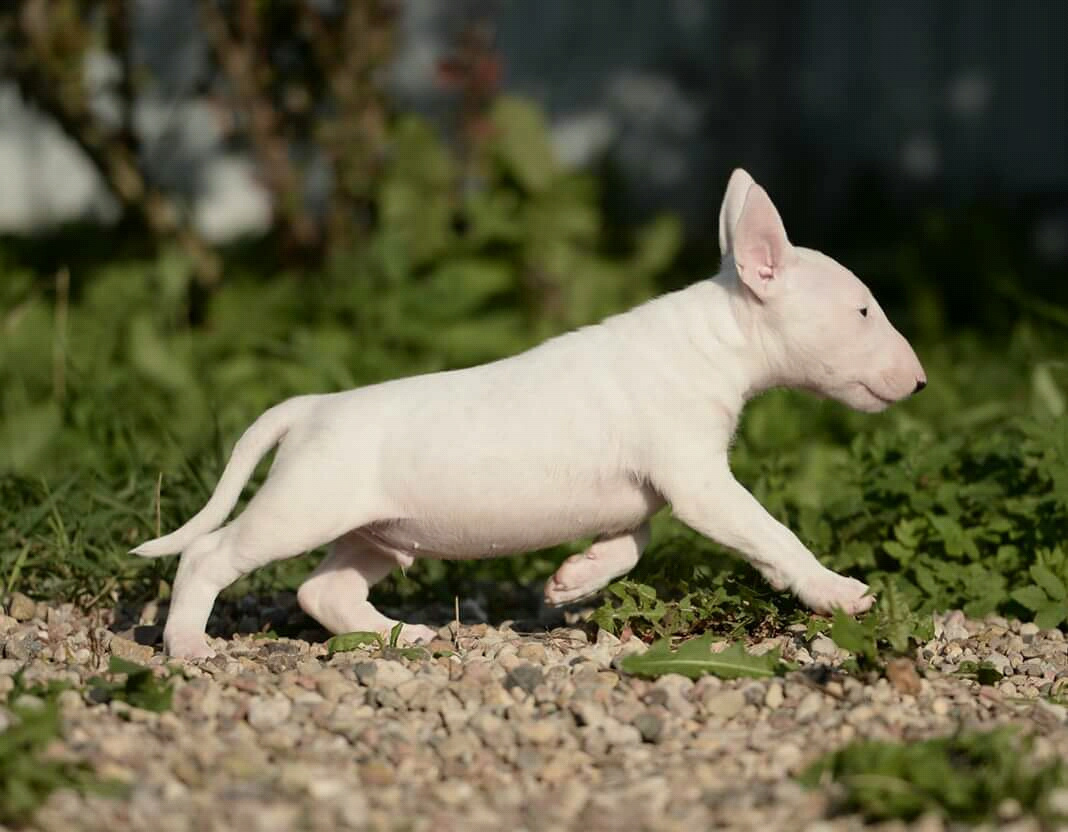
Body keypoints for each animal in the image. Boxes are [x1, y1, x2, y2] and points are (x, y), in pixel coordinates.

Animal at [135, 168, 927, 662]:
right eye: (863, 311)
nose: (920, 382)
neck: (712, 339)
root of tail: (310, 407)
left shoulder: (651, 489)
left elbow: (635, 538)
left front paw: (573, 579)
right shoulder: (700, 483)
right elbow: (771, 534)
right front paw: (837, 591)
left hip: (377, 535)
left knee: (321, 589)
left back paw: (401, 636)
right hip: (302, 507)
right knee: (211, 556)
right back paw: (187, 644)